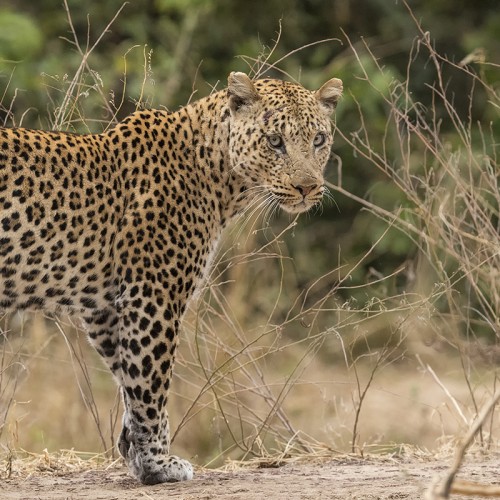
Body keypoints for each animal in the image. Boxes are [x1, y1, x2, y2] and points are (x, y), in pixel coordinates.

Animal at [0, 70, 344, 484]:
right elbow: (151, 383)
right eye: (274, 141)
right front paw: (157, 464)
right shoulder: (153, 296)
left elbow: (129, 381)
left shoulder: (104, 309)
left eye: (319, 140)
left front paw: (134, 452)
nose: (308, 187)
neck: (221, 180)